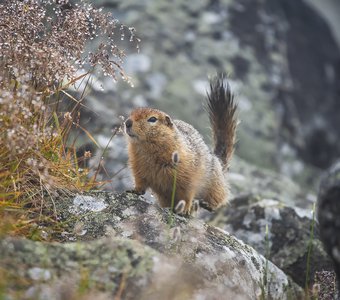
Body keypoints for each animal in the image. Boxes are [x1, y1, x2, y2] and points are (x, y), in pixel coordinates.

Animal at [123, 74, 238, 213]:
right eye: (131, 114)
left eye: (152, 119)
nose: (127, 122)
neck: (147, 149)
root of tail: (218, 161)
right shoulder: (137, 166)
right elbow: (140, 181)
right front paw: (133, 190)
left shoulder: (188, 176)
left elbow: (187, 194)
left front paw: (185, 209)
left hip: (216, 184)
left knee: (221, 196)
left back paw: (207, 205)